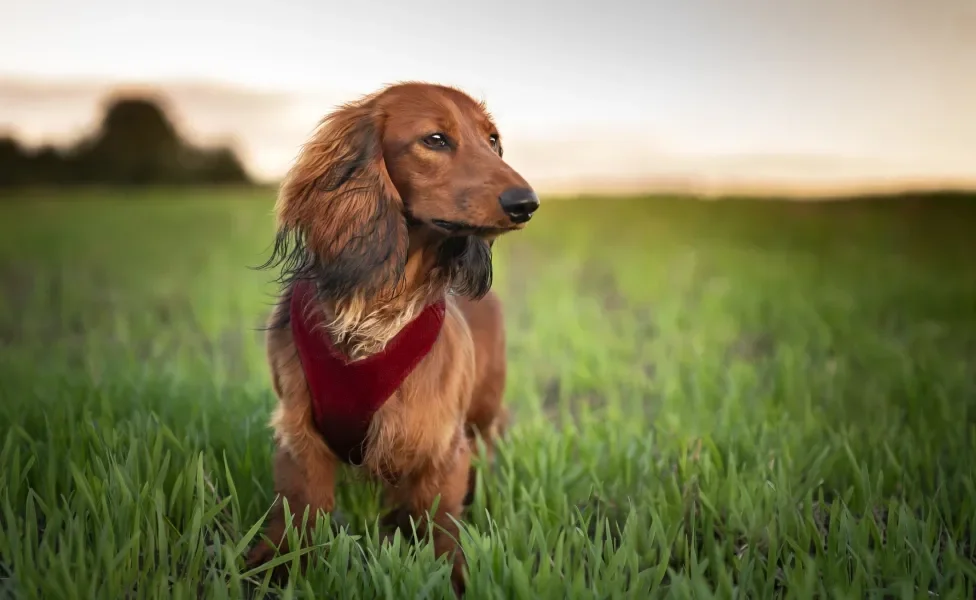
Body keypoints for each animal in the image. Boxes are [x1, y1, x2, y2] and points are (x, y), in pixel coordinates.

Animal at [248, 82, 540, 592]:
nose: (526, 202)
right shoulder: (299, 437)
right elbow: (299, 518)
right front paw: (273, 567)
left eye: (493, 141)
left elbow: (440, 528)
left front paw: (454, 577)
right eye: (436, 139)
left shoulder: (441, 446)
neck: (375, 308)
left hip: (483, 415)